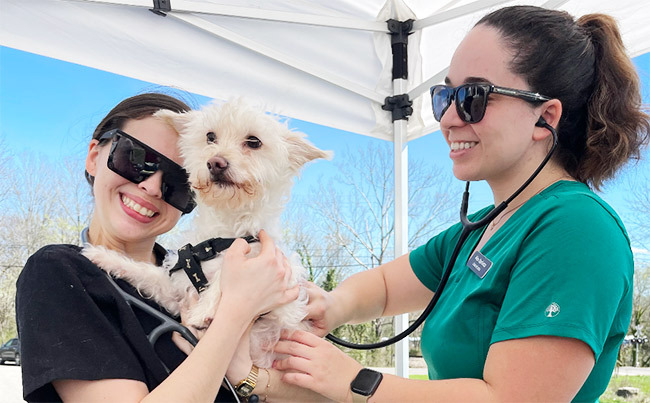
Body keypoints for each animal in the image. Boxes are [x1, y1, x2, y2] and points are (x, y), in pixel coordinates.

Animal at [82, 99, 330, 368]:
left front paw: (205, 310)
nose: (215, 162)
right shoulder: (175, 288)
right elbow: (144, 272)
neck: (222, 233)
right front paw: (102, 256)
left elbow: (225, 276)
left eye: (254, 142)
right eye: (210, 136)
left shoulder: (284, 302)